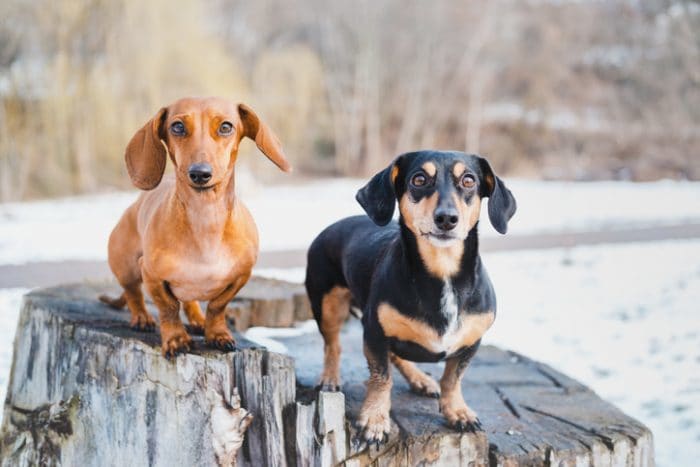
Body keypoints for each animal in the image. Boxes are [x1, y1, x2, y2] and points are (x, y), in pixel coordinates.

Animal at [98, 96, 290, 358]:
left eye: (226, 126)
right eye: (177, 126)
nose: (200, 173)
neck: (205, 219)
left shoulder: (241, 276)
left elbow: (217, 306)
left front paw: (217, 334)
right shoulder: (151, 275)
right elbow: (168, 308)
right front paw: (176, 339)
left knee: (189, 301)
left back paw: (198, 319)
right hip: (126, 267)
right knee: (133, 294)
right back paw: (141, 317)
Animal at [304, 150, 516, 442]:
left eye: (469, 180)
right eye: (419, 179)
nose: (447, 218)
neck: (442, 272)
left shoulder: (471, 342)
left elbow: (453, 378)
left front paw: (458, 412)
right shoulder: (375, 333)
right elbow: (381, 378)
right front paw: (374, 419)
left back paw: (421, 380)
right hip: (327, 304)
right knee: (333, 345)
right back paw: (330, 378)